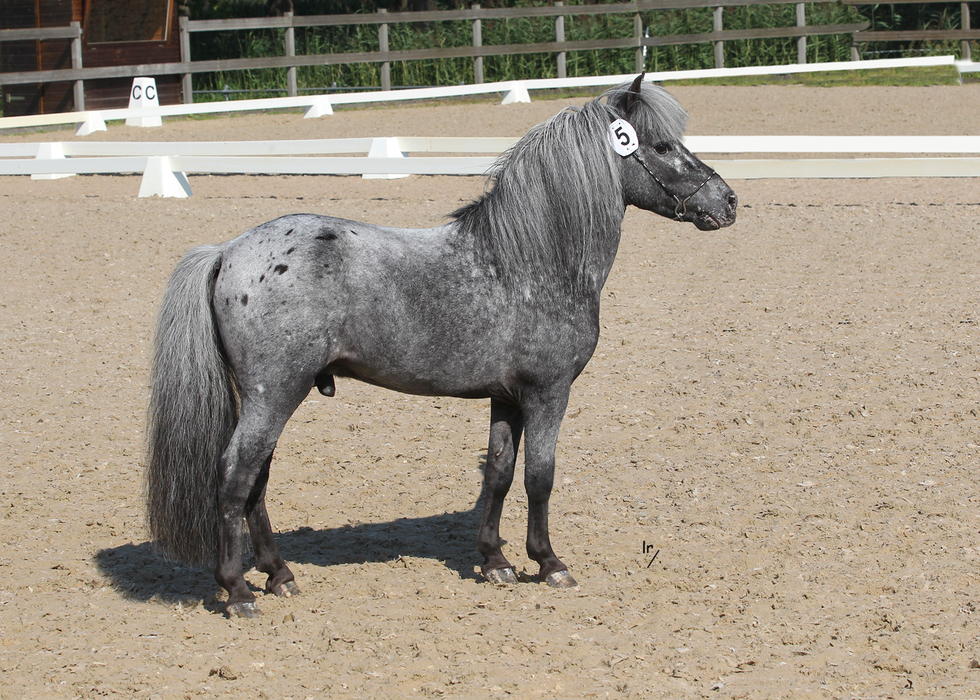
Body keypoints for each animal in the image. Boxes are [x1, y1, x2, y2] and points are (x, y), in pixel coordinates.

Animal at [146, 74, 738, 618]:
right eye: (661, 146)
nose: (728, 200)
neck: (530, 261)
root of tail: (227, 251)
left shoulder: (506, 398)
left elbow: (499, 473)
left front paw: (496, 562)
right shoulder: (547, 394)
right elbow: (540, 477)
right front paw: (548, 562)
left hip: (272, 397)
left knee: (257, 482)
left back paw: (279, 575)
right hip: (274, 395)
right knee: (235, 478)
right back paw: (239, 591)